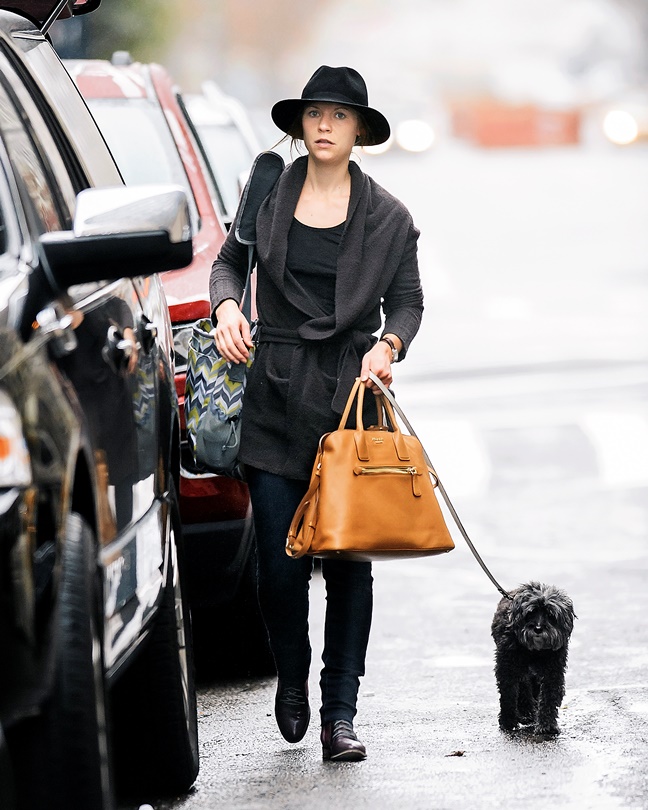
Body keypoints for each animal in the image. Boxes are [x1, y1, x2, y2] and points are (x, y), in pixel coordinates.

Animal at [491, 581, 575, 736]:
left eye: (550, 615)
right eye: (531, 613)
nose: (538, 628)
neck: (535, 651)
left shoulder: (553, 670)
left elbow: (549, 696)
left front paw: (547, 725)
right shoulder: (507, 667)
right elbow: (508, 694)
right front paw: (508, 721)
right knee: (523, 687)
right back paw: (526, 712)